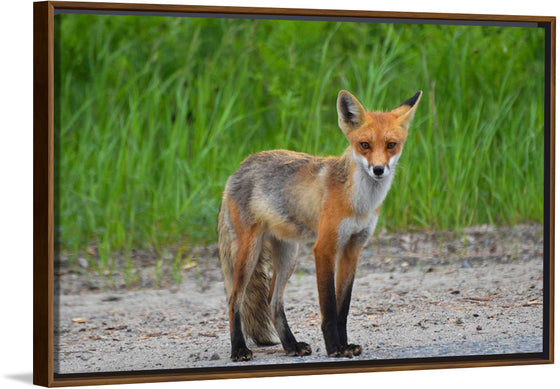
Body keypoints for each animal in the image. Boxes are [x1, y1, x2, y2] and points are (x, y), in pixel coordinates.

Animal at [217, 89, 422, 360]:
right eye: (364, 145)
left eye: (391, 145)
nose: (378, 169)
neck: (359, 203)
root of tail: (238, 169)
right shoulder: (325, 247)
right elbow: (329, 307)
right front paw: (334, 348)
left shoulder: (352, 249)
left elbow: (343, 308)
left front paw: (345, 345)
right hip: (248, 252)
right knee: (234, 300)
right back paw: (239, 348)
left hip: (288, 255)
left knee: (273, 301)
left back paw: (291, 345)